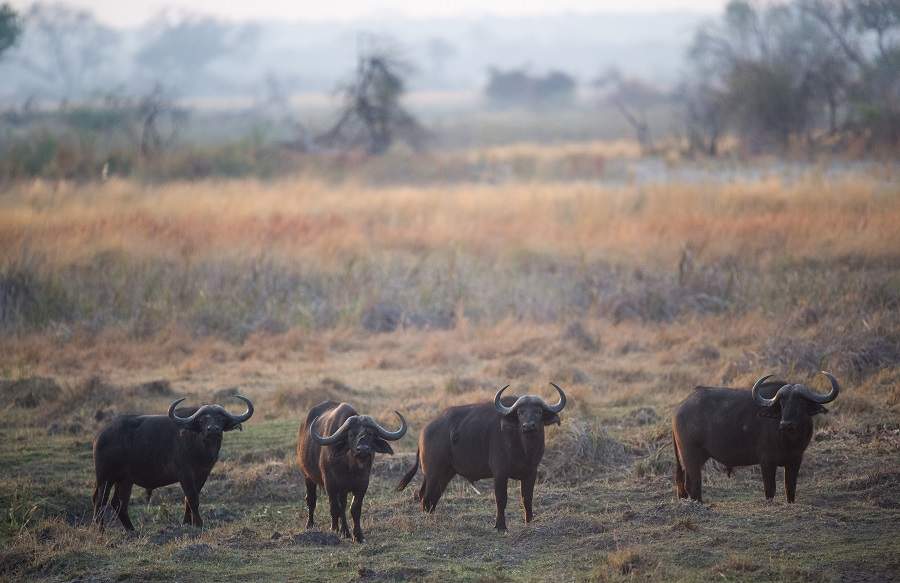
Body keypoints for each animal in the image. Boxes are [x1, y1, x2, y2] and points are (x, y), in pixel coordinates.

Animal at [92, 396, 253, 528]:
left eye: (221, 419)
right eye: (202, 420)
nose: (213, 429)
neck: (200, 448)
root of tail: (100, 436)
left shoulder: (202, 474)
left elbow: (189, 499)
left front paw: (187, 523)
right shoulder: (185, 474)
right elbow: (192, 498)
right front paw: (199, 524)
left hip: (124, 480)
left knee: (118, 503)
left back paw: (132, 530)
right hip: (105, 478)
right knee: (100, 500)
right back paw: (100, 529)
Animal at [296, 402, 408, 544]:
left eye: (370, 434)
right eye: (350, 435)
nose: (363, 449)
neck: (350, 466)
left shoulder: (362, 485)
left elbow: (354, 509)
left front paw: (357, 535)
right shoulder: (330, 484)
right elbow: (334, 507)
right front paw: (334, 529)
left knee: (342, 506)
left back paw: (345, 531)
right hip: (308, 476)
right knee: (311, 500)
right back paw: (310, 524)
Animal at [398, 386, 568, 532]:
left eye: (539, 411)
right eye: (520, 412)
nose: (528, 426)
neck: (524, 448)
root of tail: (424, 432)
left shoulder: (531, 472)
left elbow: (527, 498)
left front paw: (529, 522)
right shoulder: (500, 473)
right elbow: (501, 499)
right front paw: (500, 526)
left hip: (445, 474)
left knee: (431, 496)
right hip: (433, 473)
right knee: (426, 497)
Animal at [672, 372, 840, 504]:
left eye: (801, 402)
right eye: (782, 403)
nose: (786, 424)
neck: (788, 440)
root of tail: (679, 408)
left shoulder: (795, 460)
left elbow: (790, 488)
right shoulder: (766, 462)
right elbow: (770, 490)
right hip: (691, 457)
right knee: (693, 484)